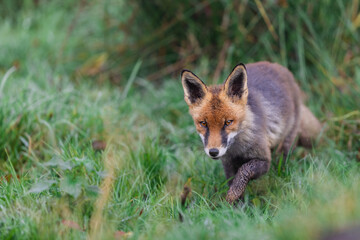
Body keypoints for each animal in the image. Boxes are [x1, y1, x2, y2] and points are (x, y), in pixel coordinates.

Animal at [180, 61, 320, 203]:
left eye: (228, 122)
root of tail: (277, 66)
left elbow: (244, 171)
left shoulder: (264, 159)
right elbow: (233, 180)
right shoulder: (228, 163)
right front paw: (237, 205)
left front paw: (232, 195)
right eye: (203, 123)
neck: (237, 149)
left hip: (285, 144)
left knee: (281, 163)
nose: (213, 152)